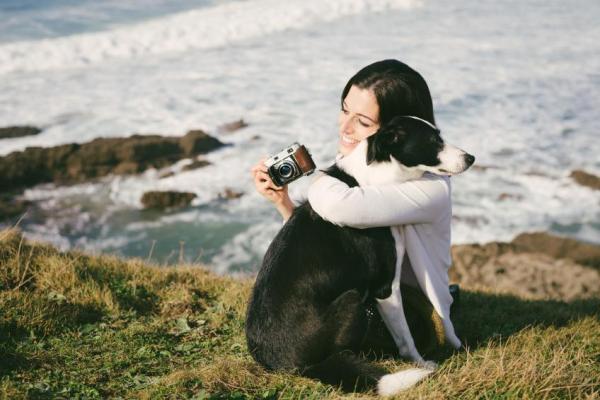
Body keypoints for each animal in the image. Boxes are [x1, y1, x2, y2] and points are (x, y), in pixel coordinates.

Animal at [244, 115, 474, 394]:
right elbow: (405, 338)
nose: (471, 158)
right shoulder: (386, 288)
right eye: (433, 141)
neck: (377, 175)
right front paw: (422, 363)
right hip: (353, 300)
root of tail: (290, 365)